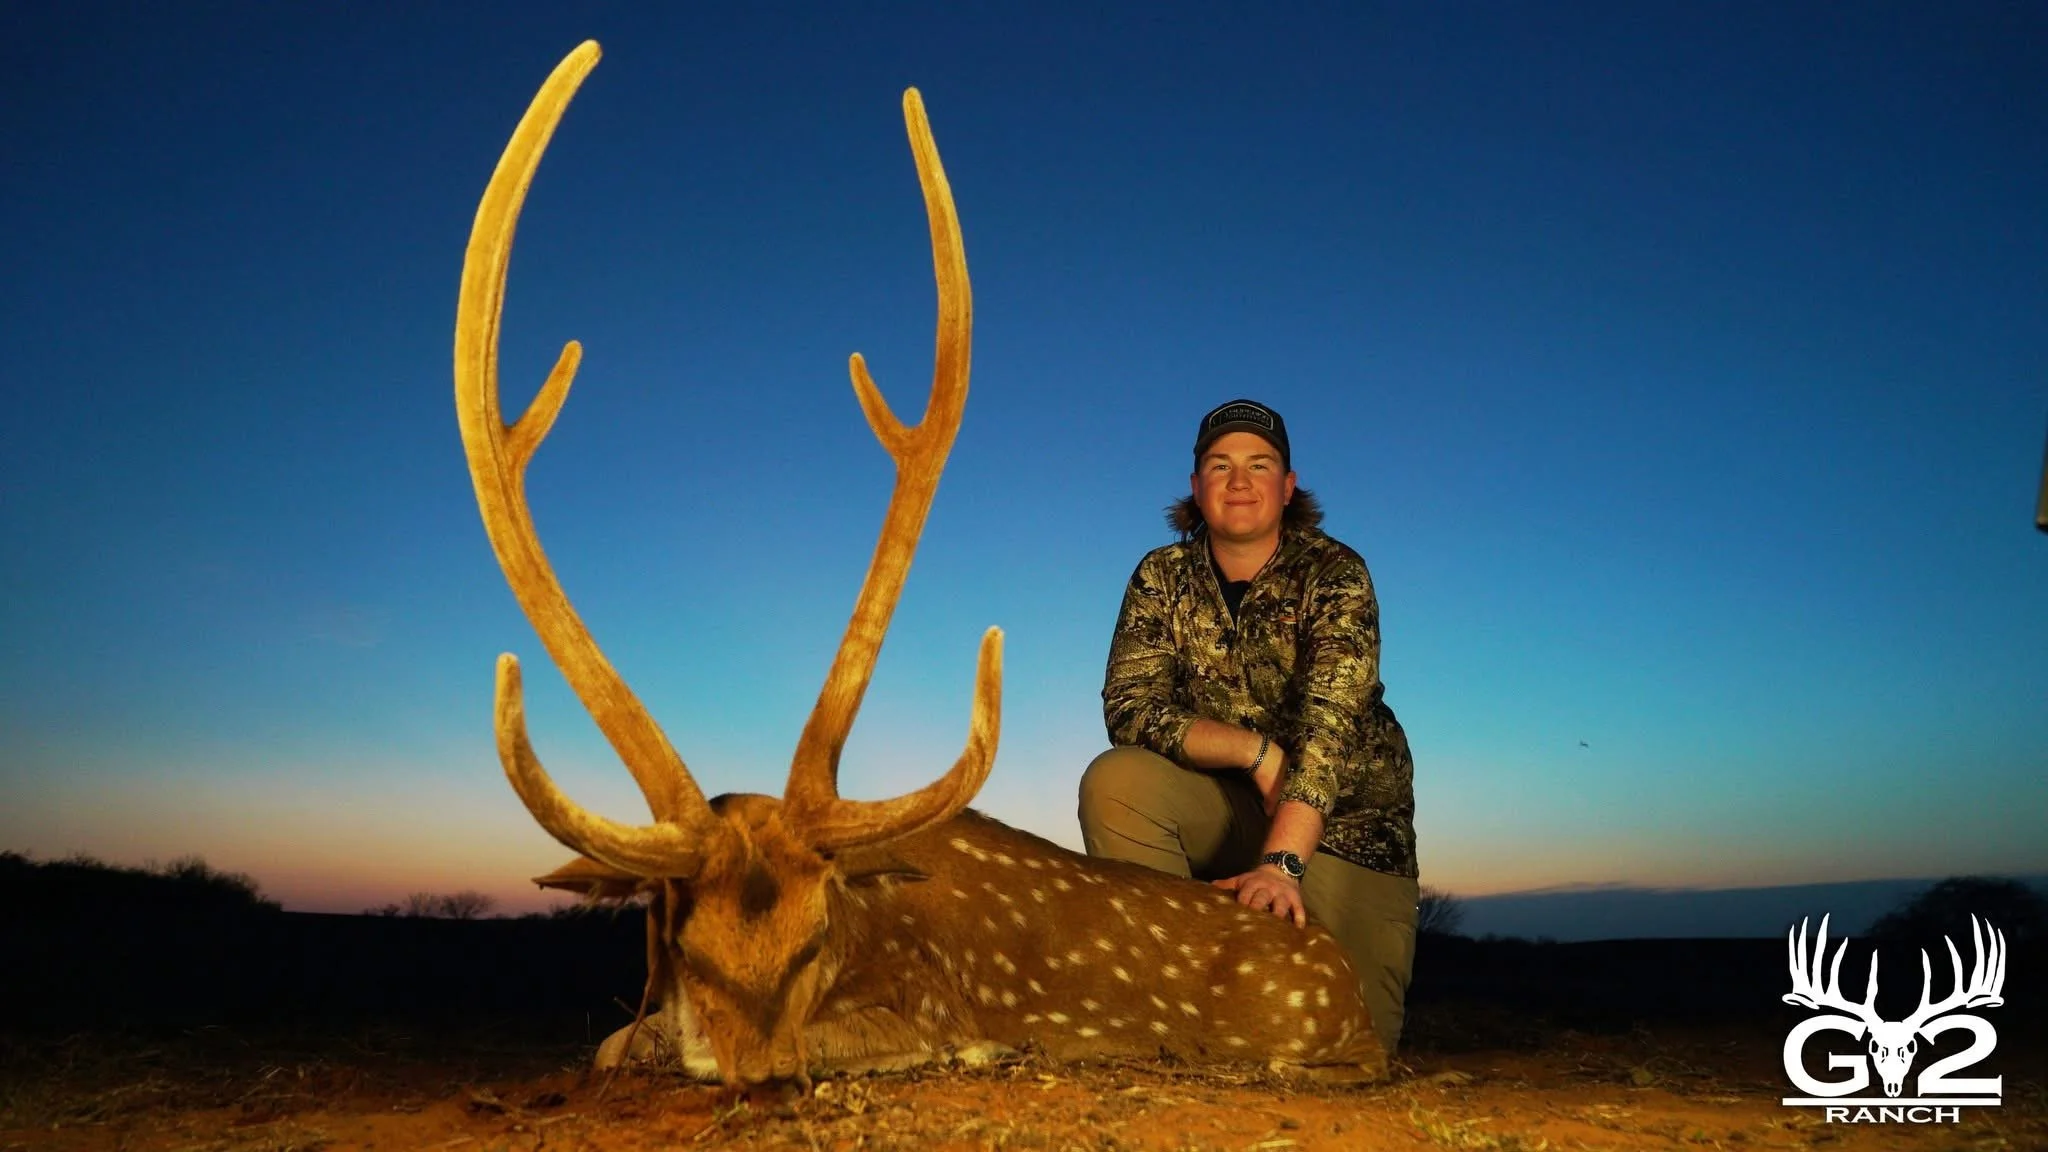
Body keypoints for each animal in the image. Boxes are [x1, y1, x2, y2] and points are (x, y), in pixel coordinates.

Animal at [453, 40, 1388, 1087]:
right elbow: (620, 1038)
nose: (759, 1071)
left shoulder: (921, 1004)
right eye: (681, 943)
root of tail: (1357, 990)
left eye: (818, 935)